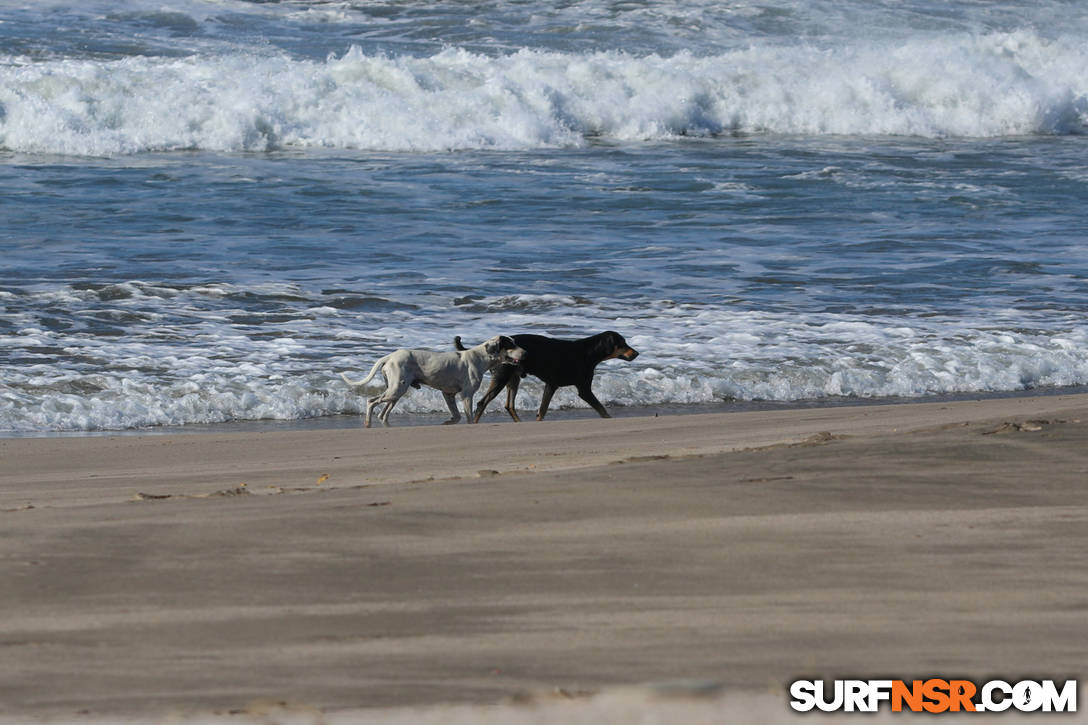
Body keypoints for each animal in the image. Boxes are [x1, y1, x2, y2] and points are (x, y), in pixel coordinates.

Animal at [339, 335, 526, 426]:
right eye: (510, 345)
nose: (526, 352)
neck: (480, 357)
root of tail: (390, 356)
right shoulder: (466, 395)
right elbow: (468, 417)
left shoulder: (448, 394)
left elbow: (456, 416)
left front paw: (447, 422)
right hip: (395, 390)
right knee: (371, 402)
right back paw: (367, 423)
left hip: (395, 393)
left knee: (383, 413)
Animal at [452, 330, 635, 420]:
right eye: (622, 343)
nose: (637, 353)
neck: (588, 352)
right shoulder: (583, 390)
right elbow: (602, 409)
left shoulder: (551, 385)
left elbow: (542, 410)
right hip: (501, 377)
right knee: (482, 403)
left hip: (513, 378)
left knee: (509, 406)